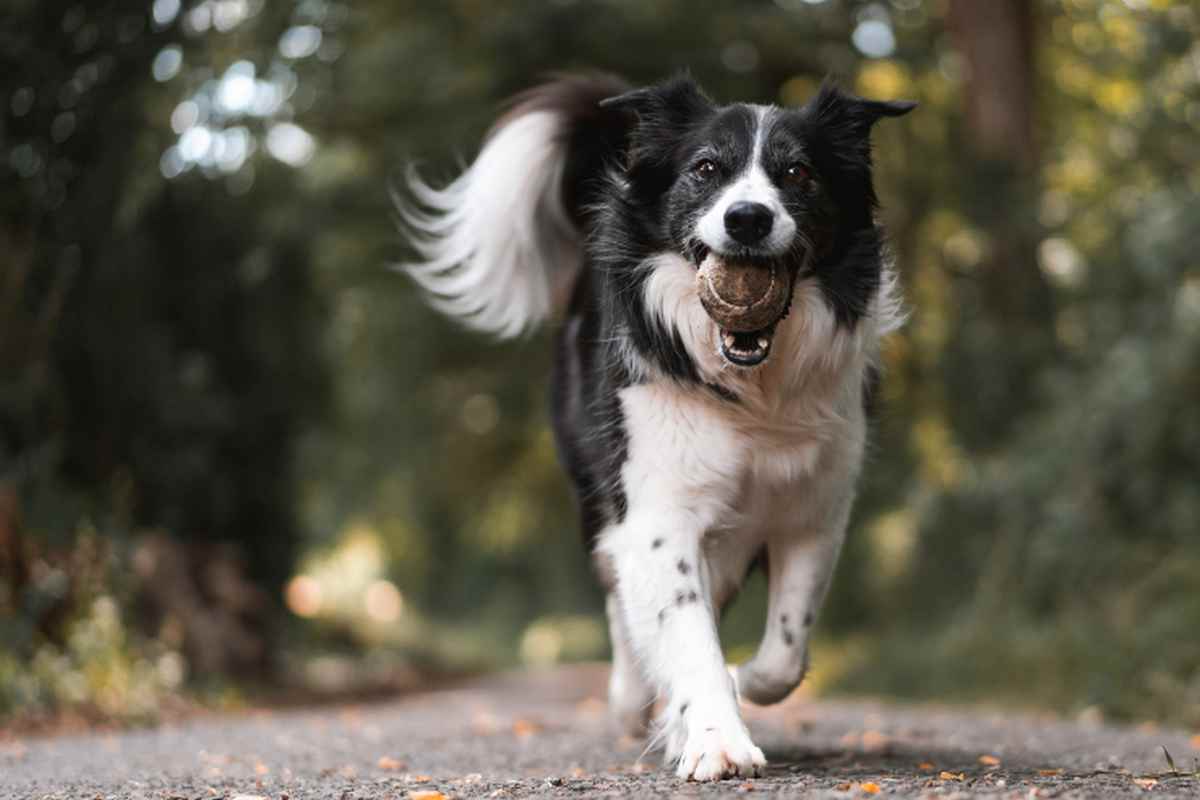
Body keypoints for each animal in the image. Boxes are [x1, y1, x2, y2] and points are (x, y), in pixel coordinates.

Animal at [398, 73, 912, 782]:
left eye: (798, 173)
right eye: (705, 169)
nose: (747, 218)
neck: (753, 389)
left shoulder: (815, 508)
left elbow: (784, 652)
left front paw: (736, 687)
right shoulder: (656, 509)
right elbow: (685, 631)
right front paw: (717, 740)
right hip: (597, 493)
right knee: (621, 599)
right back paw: (632, 700)